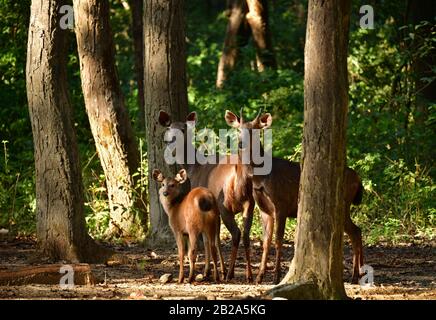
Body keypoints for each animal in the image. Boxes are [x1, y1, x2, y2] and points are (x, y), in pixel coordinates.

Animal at [158, 111, 258, 282]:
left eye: (184, 129)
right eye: (169, 128)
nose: (170, 141)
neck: (194, 168)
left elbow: (207, 240)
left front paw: (208, 271)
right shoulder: (215, 213)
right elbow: (215, 239)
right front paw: (219, 270)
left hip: (225, 204)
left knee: (236, 233)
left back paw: (231, 273)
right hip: (250, 203)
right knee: (246, 234)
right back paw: (249, 275)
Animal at [225, 109, 364, 284]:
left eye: (255, 130)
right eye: (238, 129)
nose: (241, 143)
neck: (260, 178)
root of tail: (358, 179)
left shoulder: (281, 203)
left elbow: (278, 240)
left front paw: (276, 276)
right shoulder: (264, 209)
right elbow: (265, 241)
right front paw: (260, 276)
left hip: (343, 204)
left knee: (355, 231)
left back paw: (355, 275)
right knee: (357, 231)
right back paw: (358, 274)